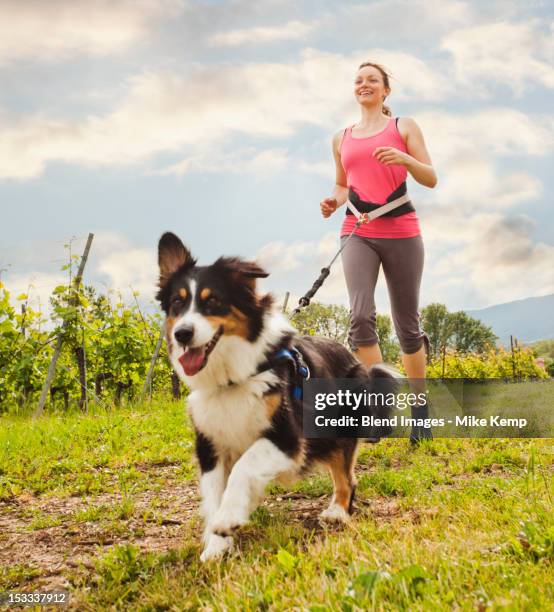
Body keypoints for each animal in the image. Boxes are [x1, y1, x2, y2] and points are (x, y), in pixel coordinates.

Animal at [155, 232, 396, 560]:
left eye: (213, 300)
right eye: (177, 303)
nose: (182, 334)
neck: (233, 377)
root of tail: (352, 355)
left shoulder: (287, 437)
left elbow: (243, 467)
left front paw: (228, 519)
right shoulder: (210, 443)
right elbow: (215, 493)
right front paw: (216, 546)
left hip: (339, 428)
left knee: (346, 476)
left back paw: (337, 511)